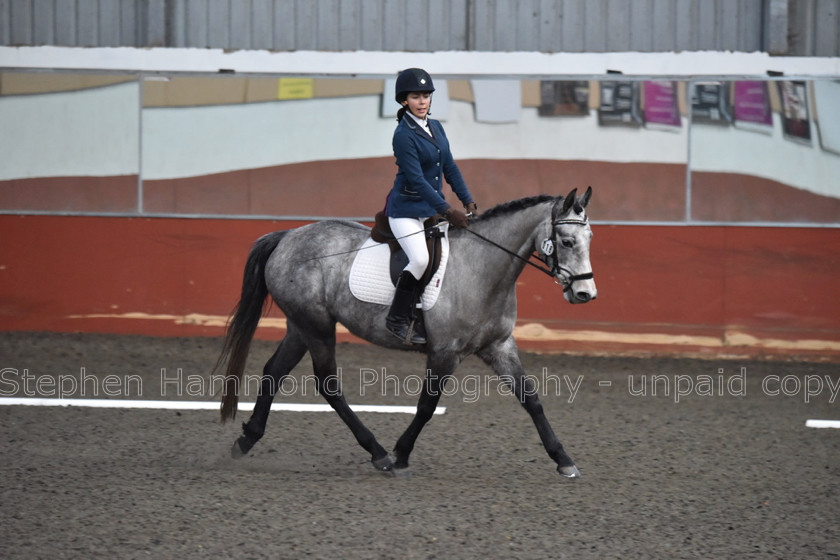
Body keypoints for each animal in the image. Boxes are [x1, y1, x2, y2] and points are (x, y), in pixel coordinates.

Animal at [217, 187, 596, 476]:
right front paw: (401, 453)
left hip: (301, 325)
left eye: (589, 238)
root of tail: (287, 237)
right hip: (317, 326)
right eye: (566, 241)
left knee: (274, 371)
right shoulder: (445, 353)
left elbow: (531, 399)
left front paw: (563, 459)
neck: (483, 269)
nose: (585, 294)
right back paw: (379, 453)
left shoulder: (499, 346)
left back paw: (246, 439)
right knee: (327, 383)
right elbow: (427, 406)